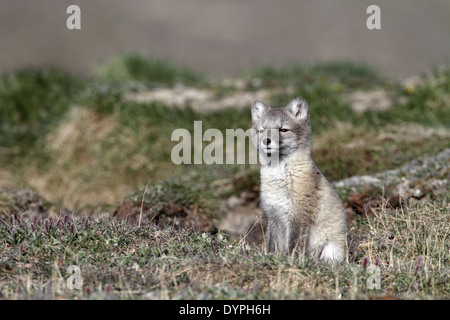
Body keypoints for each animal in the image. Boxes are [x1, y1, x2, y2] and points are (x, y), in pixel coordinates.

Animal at [251, 97, 346, 262]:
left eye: (283, 130)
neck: (279, 178)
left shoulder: (298, 215)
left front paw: (291, 261)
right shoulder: (274, 215)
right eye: (262, 130)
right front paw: (272, 258)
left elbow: (294, 245)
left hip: (332, 249)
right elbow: (273, 244)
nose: (266, 141)